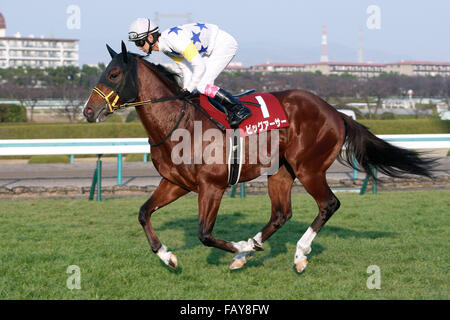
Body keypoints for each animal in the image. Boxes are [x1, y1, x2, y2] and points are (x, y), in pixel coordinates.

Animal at [82, 42, 434, 272]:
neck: (179, 122)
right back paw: (251, 252)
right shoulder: (175, 182)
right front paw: (168, 256)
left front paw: (238, 246)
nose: (88, 111)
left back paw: (296, 254)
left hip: (309, 168)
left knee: (328, 204)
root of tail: (336, 112)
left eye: (113, 74)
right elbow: (143, 213)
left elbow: (205, 234)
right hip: (281, 171)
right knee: (281, 214)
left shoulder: (212, 186)